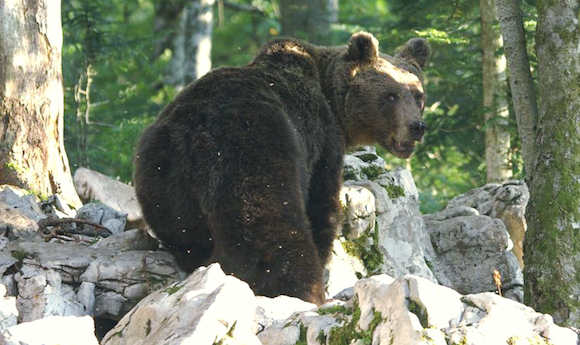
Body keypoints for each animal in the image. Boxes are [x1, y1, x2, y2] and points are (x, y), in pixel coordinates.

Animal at [134, 32, 428, 304]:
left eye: (418, 95)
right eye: (390, 95)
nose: (417, 126)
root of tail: (195, 132)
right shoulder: (321, 141)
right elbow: (322, 205)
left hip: (161, 177)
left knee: (185, 235)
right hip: (253, 153)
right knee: (270, 231)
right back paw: (301, 290)